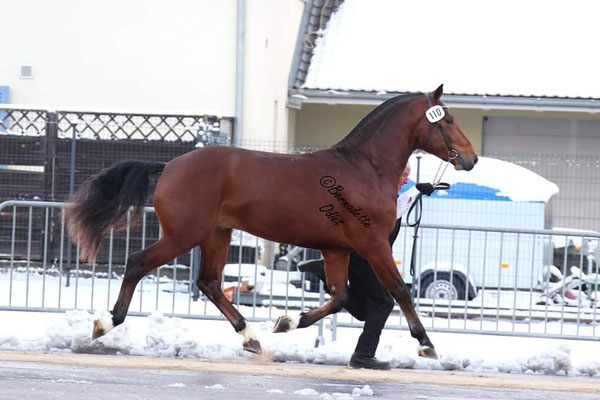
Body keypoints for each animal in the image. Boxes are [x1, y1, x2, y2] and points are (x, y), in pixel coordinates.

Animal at [65, 84, 478, 360]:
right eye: (449, 119)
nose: (470, 158)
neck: (363, 168)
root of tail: (169, 166)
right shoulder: (372, 244)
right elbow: (399, 291)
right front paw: (426, 344)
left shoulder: (337, 249)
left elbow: (339, 297)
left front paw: (286, 322)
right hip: (184, 234)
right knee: (139, 264)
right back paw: (105, 324)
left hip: (217, 234)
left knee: (209, 282)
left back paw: (251, 336)